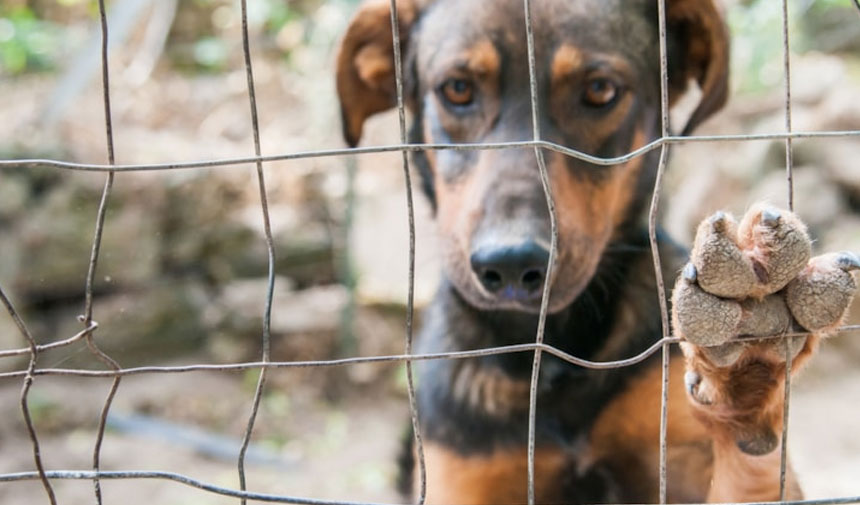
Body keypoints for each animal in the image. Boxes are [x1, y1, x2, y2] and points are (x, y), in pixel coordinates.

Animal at [332, 1, 856, 502]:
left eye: (600, 90)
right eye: (457, 89)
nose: (511, 265)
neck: (555, 350)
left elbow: (750, 471)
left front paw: (751, 355)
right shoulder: (465, 473)